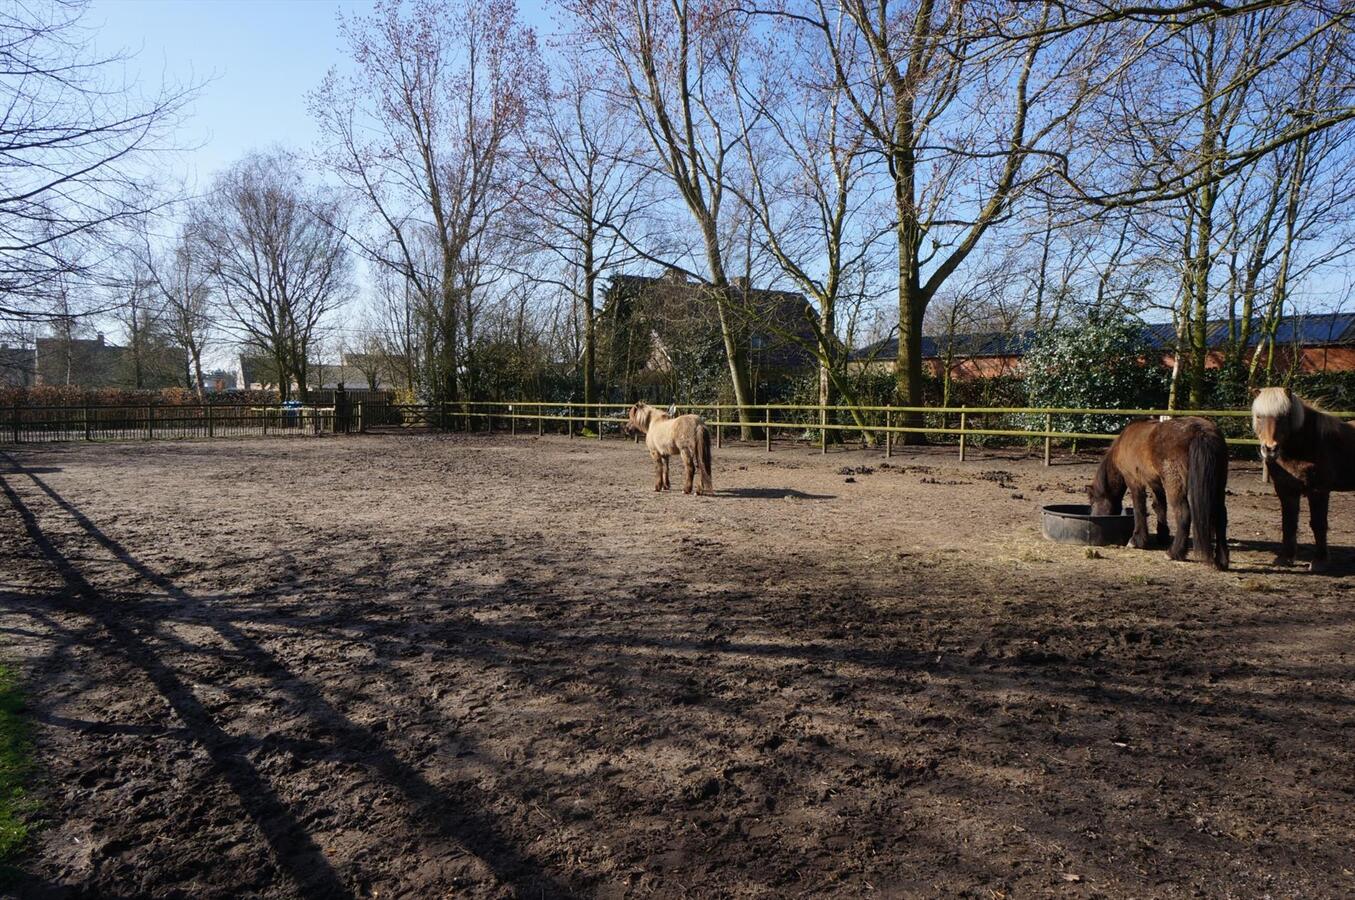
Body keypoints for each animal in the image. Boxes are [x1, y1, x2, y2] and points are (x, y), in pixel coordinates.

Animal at [1089, 417, 1230, 569]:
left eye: (1092, 502)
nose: (1094, 517)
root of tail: (1200, 432)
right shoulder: (1155, 482)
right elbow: (1159, 506)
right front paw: (1162, 536)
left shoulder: (1134, 480)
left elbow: (1139, 509)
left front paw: (1136, 540)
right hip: (1218, 485)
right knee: (1221, 516)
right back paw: (1222, 560)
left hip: (1175, 485)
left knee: (1183, 514)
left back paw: (1174, 553)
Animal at [1246, 384, 1355, 569]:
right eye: (1259, 416)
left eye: (1283, 417)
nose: (1270, 449)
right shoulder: (1286, 490)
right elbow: (1289, 524)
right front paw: (1285, 558)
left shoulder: (1319, 491)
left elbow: (1318, 524)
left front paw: (1319, 561)